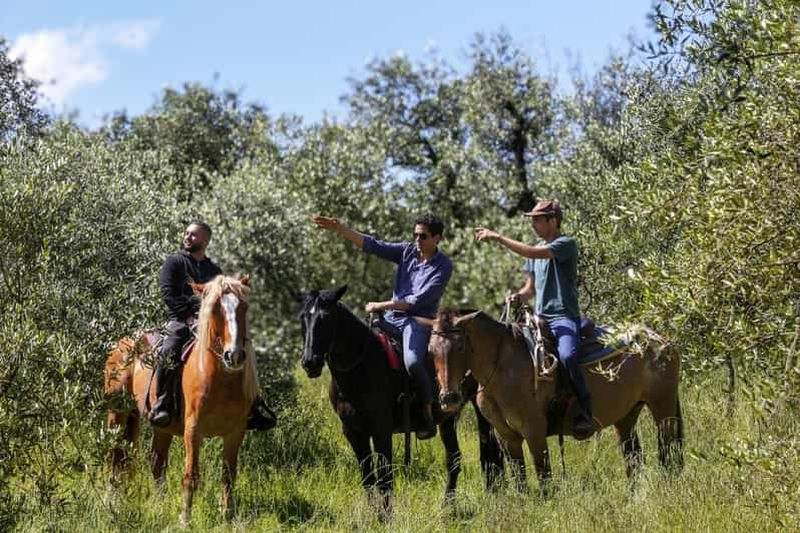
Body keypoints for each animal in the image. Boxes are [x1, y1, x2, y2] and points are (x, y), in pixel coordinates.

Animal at [104, 274, 258, 525]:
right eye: (215, 309)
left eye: (243, 307)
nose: (234, 356)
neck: (219, 379)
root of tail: (121, 344)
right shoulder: (193, 430)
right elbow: (191, 475)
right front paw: (185, 519)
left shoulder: (236, 432)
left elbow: (228, 475)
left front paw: (228, 516)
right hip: (117, 414)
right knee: (116, 455)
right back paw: (112, 500)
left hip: (160, 426)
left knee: (156, 462)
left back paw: (158, 505)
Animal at [297, 286, 504, 516]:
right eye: (303, 318)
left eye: (326, 317)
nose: (310, 362)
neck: (361, 368)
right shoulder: (353, 432)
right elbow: (368, 477)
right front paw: (373, 515)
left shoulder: (381, 430)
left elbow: (385, 477)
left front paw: (386, 517)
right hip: (447, 415)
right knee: (454, 459)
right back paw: (447, 507)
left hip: (481, 410)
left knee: (489, 456)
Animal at [429, 309, 683, 493]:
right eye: (431, 351)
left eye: (460, 346)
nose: (448, 398)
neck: (503, 367)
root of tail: (659, 340)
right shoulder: (507, 436)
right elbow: (520, 479)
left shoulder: (534, 432)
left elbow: (544, 477)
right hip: (626, 416)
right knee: (634, 459)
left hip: (663, 407)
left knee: (668, 452)